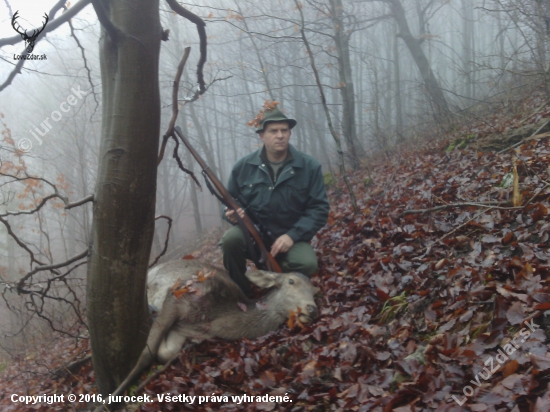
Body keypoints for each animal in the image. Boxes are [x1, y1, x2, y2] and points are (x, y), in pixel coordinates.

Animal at [112, 260, 320, 398]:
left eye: (313, 289)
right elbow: (146, 356)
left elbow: (165, 352)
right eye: (291, 281)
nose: (312, 308)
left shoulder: (186, 330)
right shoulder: (177, 298)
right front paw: (113, 396)